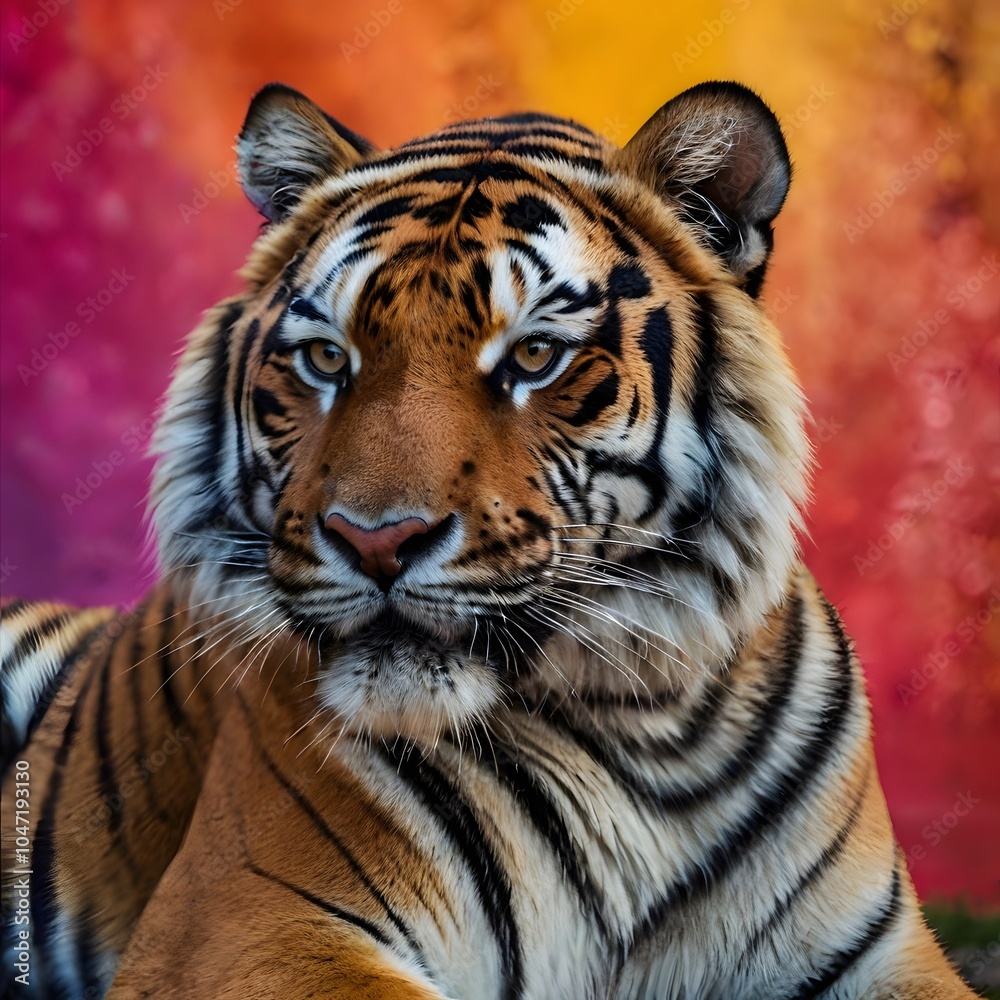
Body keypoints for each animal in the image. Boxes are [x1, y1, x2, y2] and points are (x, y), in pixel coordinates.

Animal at [0, 80, 976, 998]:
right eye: (326, 358)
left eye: (536, 356)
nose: (376, 540)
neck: (652, 730)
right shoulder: (248, 927)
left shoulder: (877, 951)